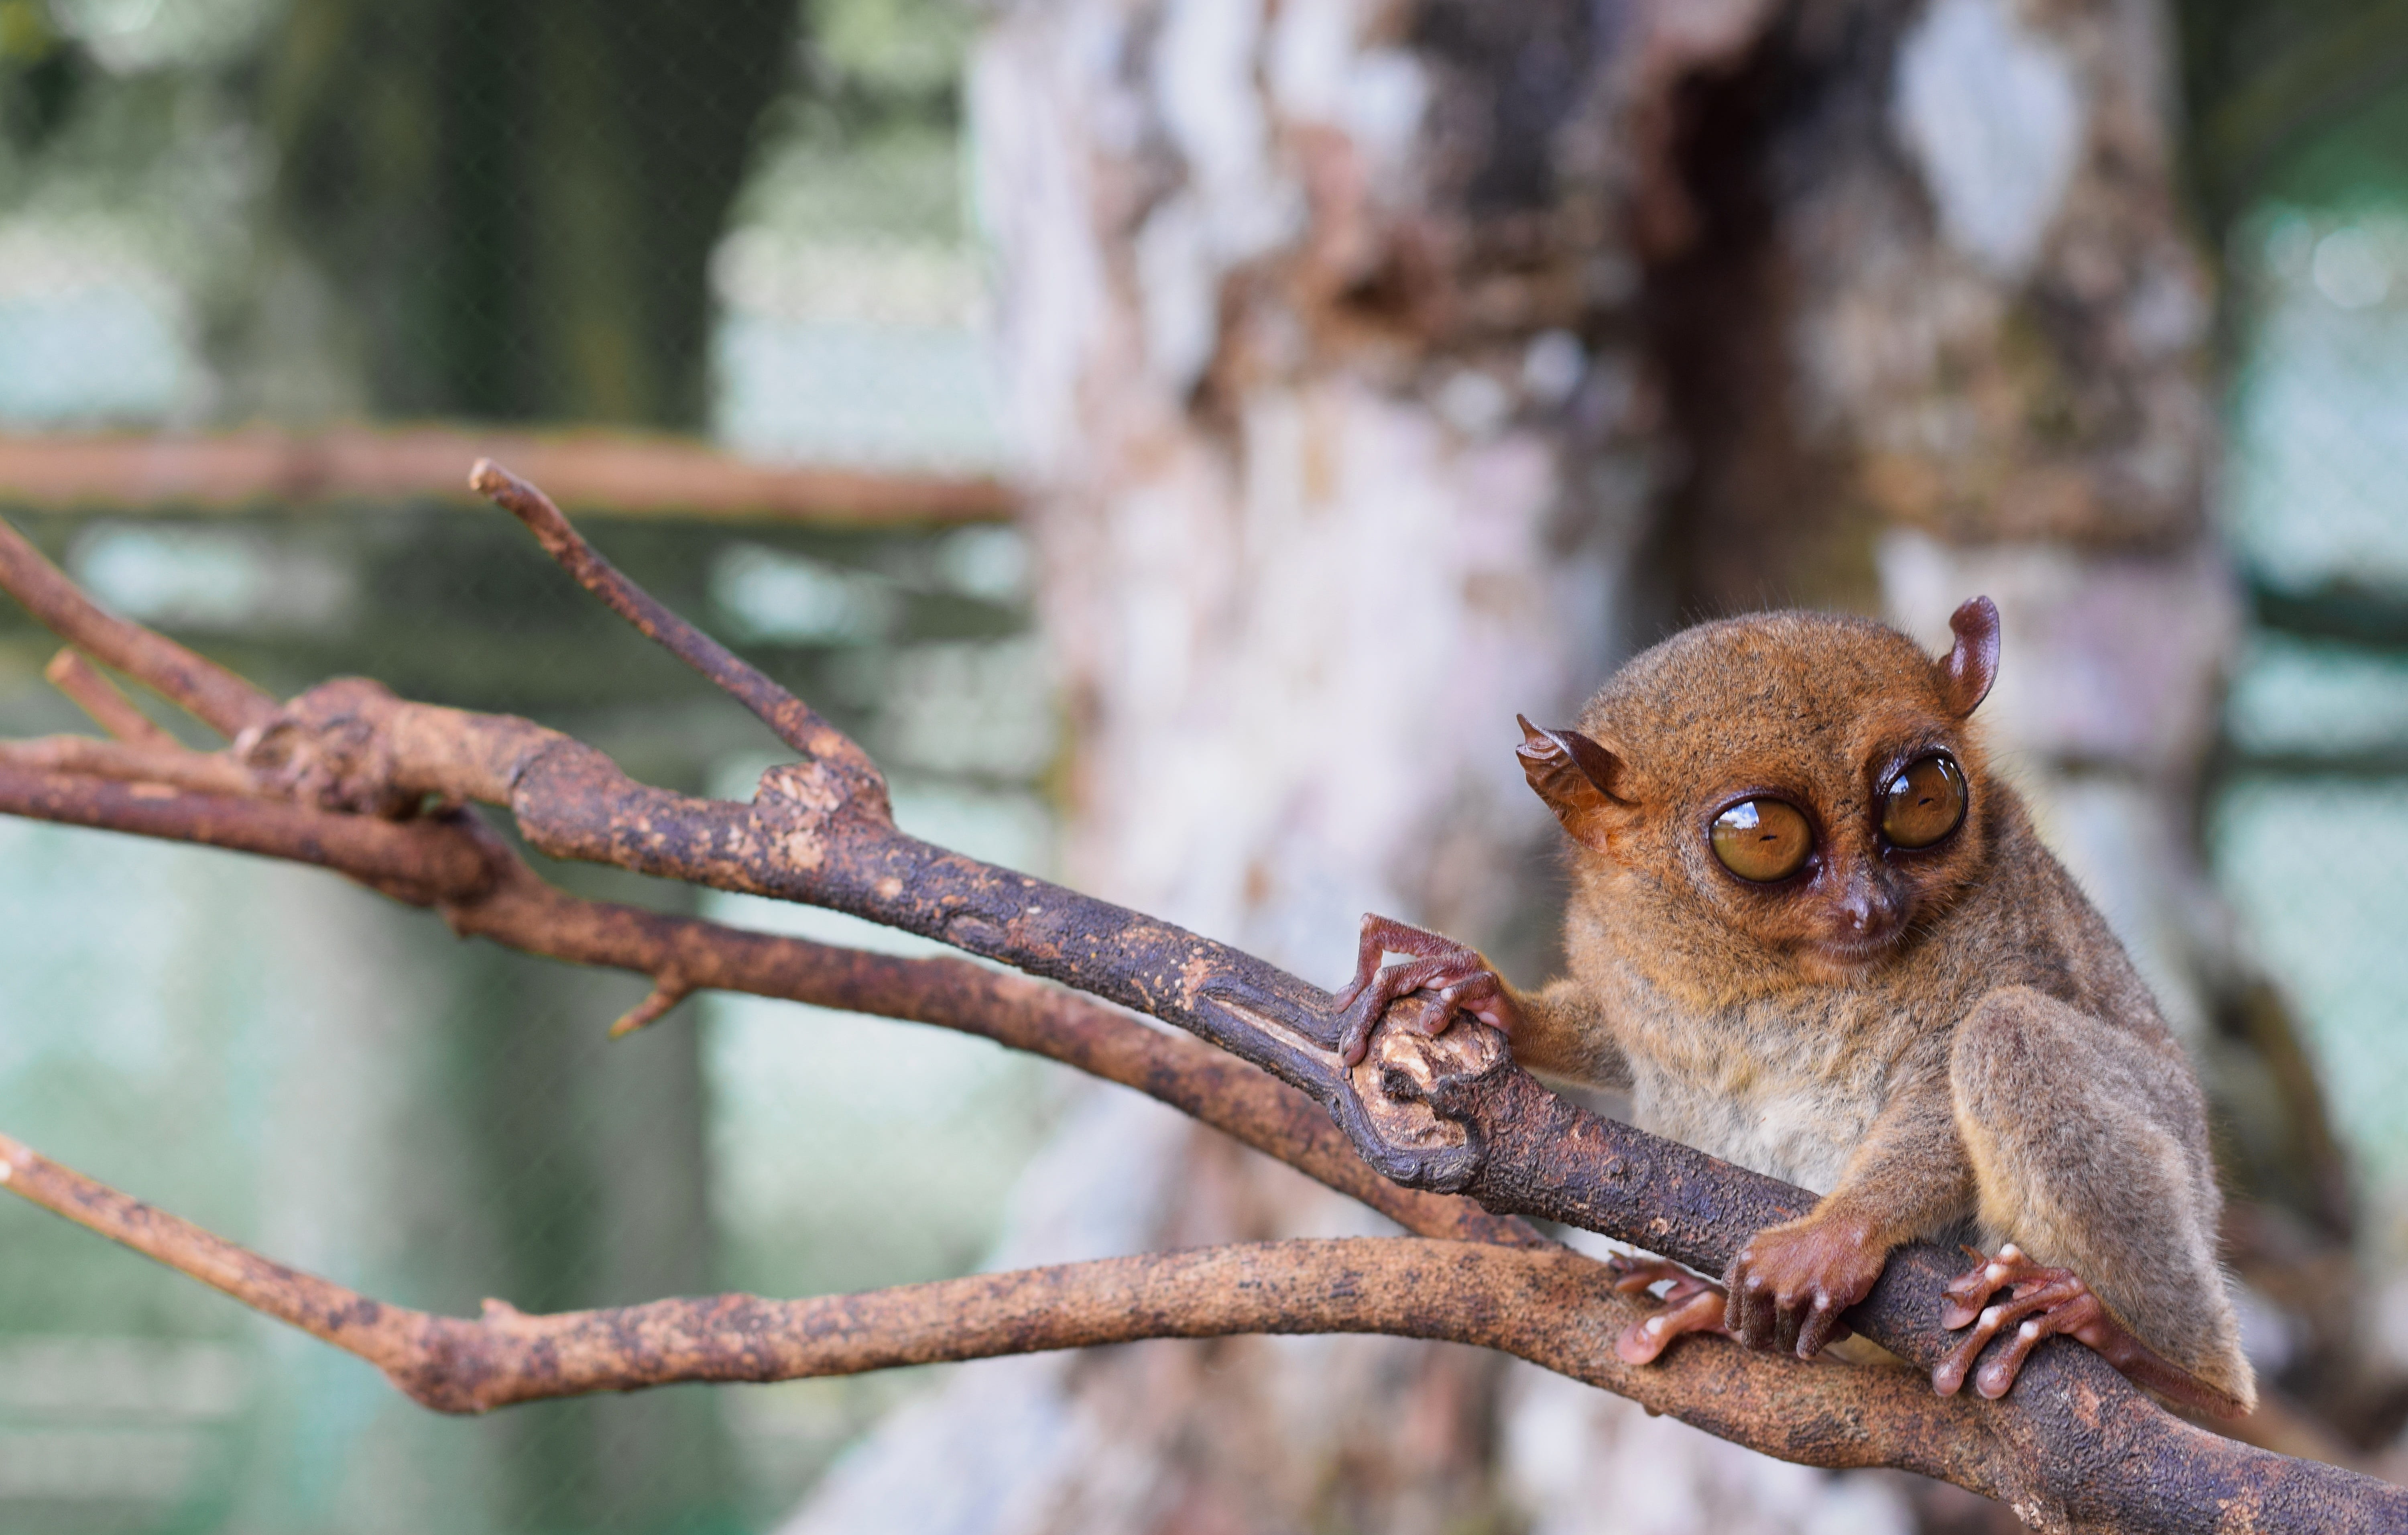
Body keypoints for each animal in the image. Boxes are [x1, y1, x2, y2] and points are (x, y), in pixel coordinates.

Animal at [1331, 598, 2254, 1416]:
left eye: (1925, 797)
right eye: (1764, 836)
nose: (1870, 906)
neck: (1771, 974)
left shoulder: (2003, 924)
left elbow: (1948, 1071)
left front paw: (1832, 1239)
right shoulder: (1609, 946)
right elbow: (1618, 1045)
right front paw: (1480, 993)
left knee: (2008, 1033)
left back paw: (2145, 1356)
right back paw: (1710, 1306)